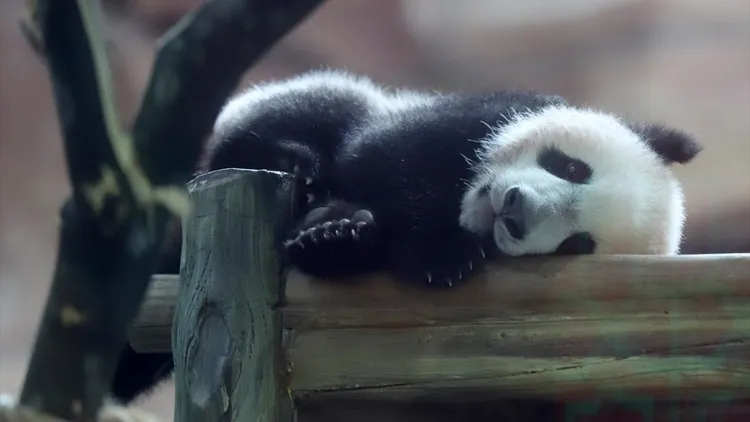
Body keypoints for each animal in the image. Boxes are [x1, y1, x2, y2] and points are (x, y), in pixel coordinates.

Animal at [110, 69, 702, 404]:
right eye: (573, 168)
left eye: (577, 245)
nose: (512, 212)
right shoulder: (482, 114)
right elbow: (390, 154)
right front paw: (437, 252)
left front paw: (339, 240)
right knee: (312, 109)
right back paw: (299, 172)